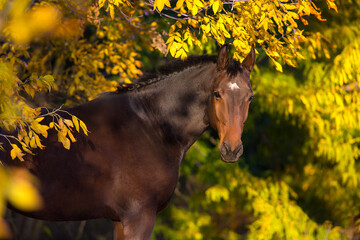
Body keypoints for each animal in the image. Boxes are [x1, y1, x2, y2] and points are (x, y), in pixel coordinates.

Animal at [1, 44, 258, 239]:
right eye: (217, 94)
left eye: (249, 97)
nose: (231, 149)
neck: (151, 124)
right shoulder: (139, 217)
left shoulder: (119, 220)